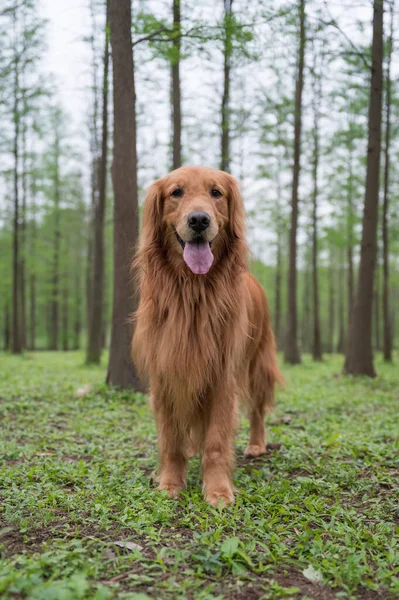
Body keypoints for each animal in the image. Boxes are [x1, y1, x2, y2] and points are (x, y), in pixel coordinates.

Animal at [132, 165, 282, 506]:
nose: (199, 220)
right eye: (176, 192)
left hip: (257, 363)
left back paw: (256, 444)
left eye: (216, 193)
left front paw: (217, 490)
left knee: (257, 409)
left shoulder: (223, 375)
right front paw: (170, 483)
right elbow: (171, 439)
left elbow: (215, 441)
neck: (193, 292)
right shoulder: (165, 372)